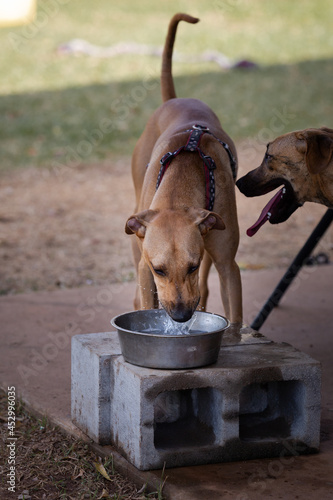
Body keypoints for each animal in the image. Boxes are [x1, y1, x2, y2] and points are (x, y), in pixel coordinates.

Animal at [124, 13, 241, 324]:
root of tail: (173, 100)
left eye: (192, 266)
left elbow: (235, 318)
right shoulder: (145, 267)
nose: (180, 316)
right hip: (135, 240)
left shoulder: (227, 265)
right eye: (159, 269)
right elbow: (147, 298)